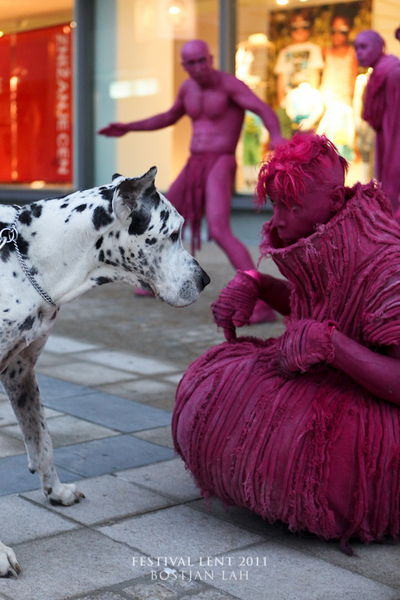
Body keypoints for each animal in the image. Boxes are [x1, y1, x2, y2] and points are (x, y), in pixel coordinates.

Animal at [0, 167, 210, 576]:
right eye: (174, 233)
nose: (205, 280)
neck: (32, 256)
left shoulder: (21, 372)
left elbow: (43, 440)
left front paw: (56, 491)